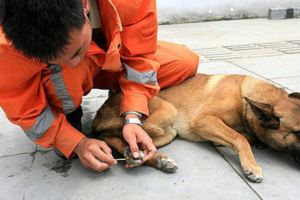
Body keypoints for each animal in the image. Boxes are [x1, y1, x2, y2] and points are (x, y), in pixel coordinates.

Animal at [91, 73, 300, 183]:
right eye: (297, 132)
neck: (244, 100)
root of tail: (100, 113)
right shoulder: (204, 120)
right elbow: (239, 138)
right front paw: (251, 165)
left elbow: (241, 136)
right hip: (168, 112)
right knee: (122, 136)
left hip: (167, 133)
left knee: (127, 142)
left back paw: (156, 159)